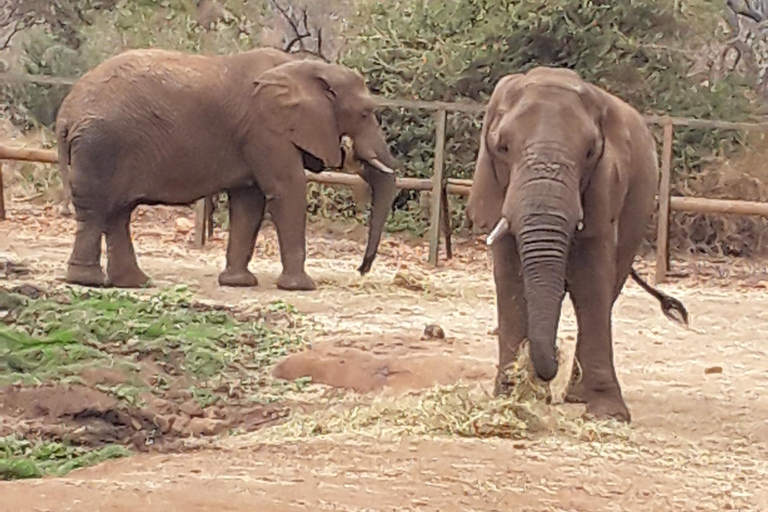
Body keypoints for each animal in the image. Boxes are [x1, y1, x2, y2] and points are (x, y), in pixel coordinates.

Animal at [55, 47, 399, 290]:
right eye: (366, 113)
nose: (361, 270)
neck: (304, 67)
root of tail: (66, 113)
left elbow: (249, 201)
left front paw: (238, 283)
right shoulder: (265, 129)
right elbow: (286, 190)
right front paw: (302, 288)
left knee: (117, 212)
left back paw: (134, 283)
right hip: (100, 145)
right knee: (98, 209)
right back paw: (87, 280)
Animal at [466, 67, 688, 422]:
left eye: (589, 152)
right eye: (502, 148)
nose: (550, 361)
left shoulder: (604, 190)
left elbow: (590, 281)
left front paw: (608, 414)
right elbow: (511, 279)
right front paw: (511, 398)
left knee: (610, 287)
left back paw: (576, 396)